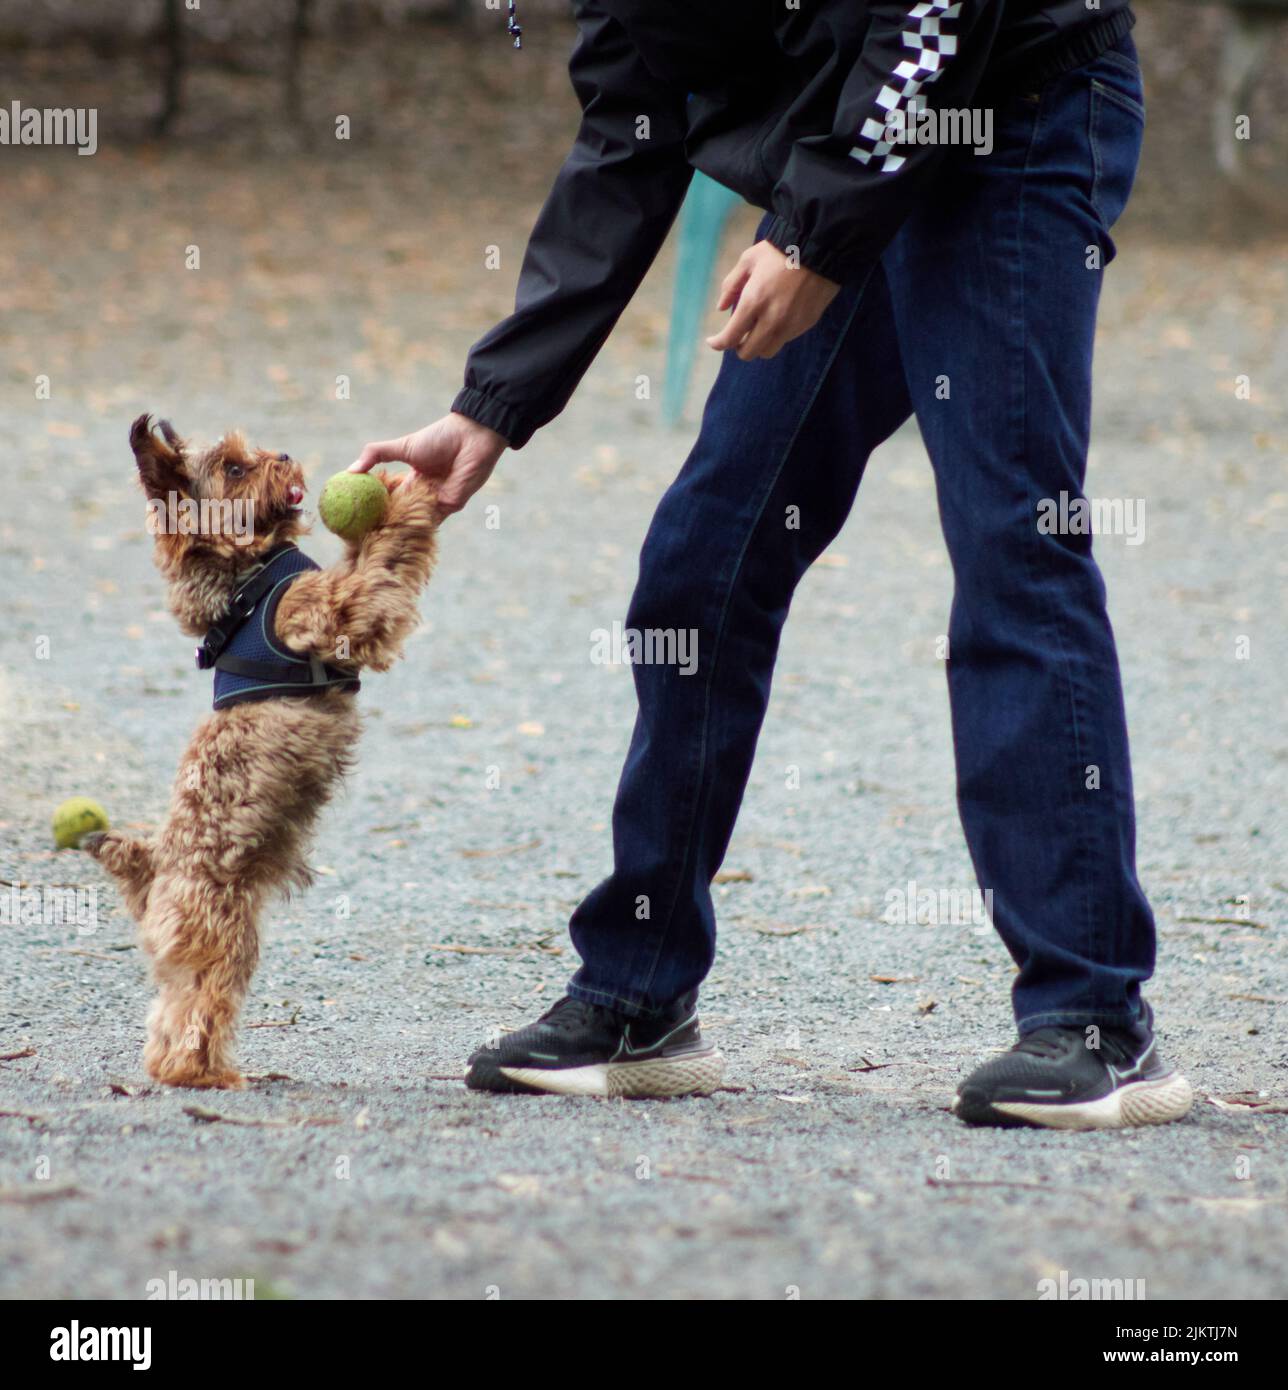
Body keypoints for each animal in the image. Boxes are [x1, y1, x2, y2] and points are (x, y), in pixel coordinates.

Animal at [85, 417, 441, 1089]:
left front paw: (388, 486)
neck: (246, 582)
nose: (283, 454)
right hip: (223, 929)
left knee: (169, 1008)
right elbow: (376, 562)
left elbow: (366, 555)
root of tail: (154, 869)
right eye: (234, 469)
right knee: (201, 1002)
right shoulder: (336, 610)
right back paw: (202, 1073)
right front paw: (412, 497)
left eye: (249, 452)